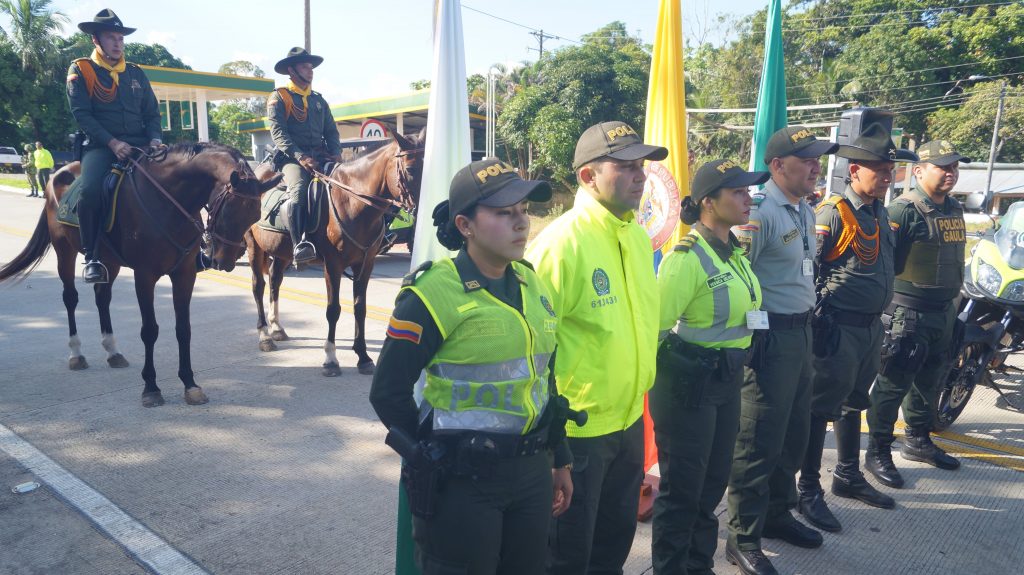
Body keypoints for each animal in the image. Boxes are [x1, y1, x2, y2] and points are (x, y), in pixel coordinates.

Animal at [0, 141, 282, 405]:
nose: (224, 261)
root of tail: (57, 175)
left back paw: (112, 351)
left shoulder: (184, 274)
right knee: (70, 298)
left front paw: (190, 383)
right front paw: (151, 387)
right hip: (64, 251)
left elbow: (184, 329)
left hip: (109, 261)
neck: (169, 201)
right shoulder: (144, 275)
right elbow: (150, 330)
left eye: (254, 216)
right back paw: (76, 353)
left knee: (102, 297)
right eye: (229, 211)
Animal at [243, 129, 423, 374]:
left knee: (274, 281)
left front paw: (363, 356)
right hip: (254, 246)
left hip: (281, 253)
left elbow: (360, 308)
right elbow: (333, 309)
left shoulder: (365, 264)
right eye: (411, 169)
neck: (352, 202)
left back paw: (277, 328)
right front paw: (330, 358)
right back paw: (264, 336)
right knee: (258, 286)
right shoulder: (333, 265)